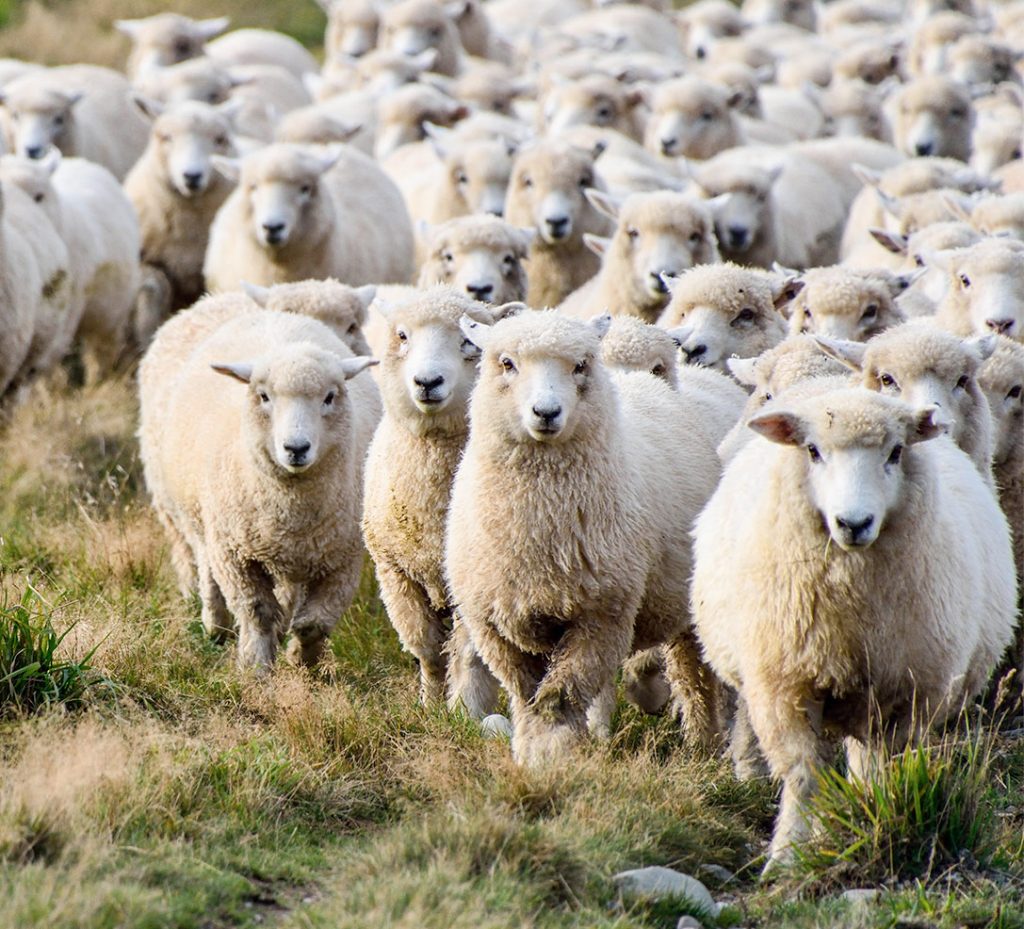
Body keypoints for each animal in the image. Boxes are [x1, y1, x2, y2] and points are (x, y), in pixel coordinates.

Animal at [0, 151, 140, 382]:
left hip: (110, 313)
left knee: (103, 349)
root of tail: (79, 161)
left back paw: (102, 378)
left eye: (39, 196)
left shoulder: (67, 307)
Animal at [138, 303, 381, 669]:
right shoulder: (234, 554)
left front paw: (302, 659)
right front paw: (256, 665)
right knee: (206, 568)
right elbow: (257, 612)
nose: (296, 448)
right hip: (198, 516)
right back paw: (216, 625)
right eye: (264, 396)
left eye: (329, 397)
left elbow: (313, 623)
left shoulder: (343, 557)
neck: (291, 504)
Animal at [362, 288, 519, 712]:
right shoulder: (395, 573)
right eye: (402, 335)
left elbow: (467, 654)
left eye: (469, 340)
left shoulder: (472, 585)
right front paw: (430, 704)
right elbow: (427, 649)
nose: (427, 381)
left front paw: (466, 709)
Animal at [446, 311, 724, 765]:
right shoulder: (497, 624)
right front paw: (533, 752)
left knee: (693, 674)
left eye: (579, 365)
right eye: (506, 363)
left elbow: (557, 698)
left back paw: (703, 744)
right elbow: (528, 695)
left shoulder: (601, 614)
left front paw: (553, 758)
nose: (546, 412)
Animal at [691, 385, 1017, 869]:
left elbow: (879, 768)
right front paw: (786, 856)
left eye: (896, 452)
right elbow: (804, 775)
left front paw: (868, 820)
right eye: (812, 451)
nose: (854, 523)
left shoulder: (903, 694)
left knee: (863, 758)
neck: (849, 611)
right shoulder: (783, 686)